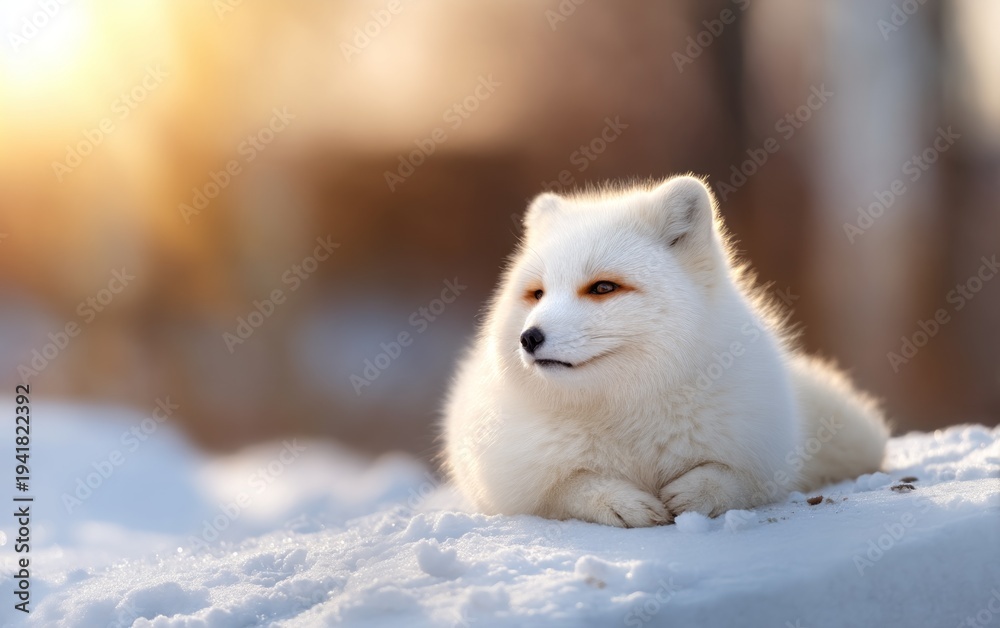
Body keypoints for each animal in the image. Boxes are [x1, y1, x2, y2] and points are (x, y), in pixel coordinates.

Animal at [442, 175, 889, 527]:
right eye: (536, 294)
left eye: (603, 287)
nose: (529, 337)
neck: (627, 409)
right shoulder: (510, 481)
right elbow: (569, 488)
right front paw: (621, 502)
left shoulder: (764, 455)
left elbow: (734, 479)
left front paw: (696, 494)